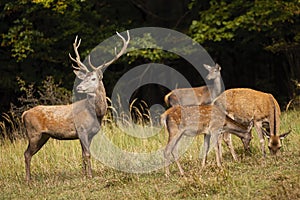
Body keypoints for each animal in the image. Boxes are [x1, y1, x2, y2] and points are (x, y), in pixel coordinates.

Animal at [21, 30, 129, 182]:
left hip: (43, 136)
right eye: (84, 78)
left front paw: (84, 175)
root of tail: (24, 114)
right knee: (26, 153)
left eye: (93, 78)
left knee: (28, 153)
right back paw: (28, 180)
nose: (78, 87)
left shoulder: (90, 134)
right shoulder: (82, 129)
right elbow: (87, 154)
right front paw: (90, 176)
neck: (96, 113)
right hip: (34, 133)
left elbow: (84, 154)